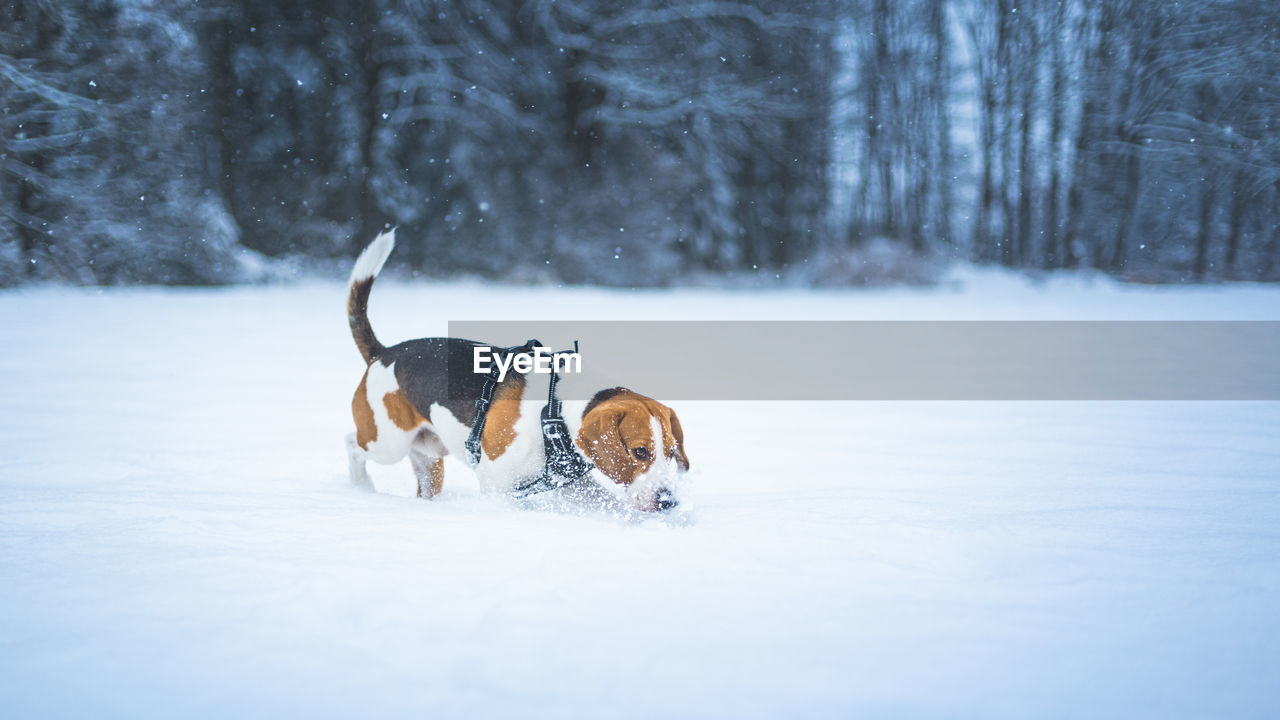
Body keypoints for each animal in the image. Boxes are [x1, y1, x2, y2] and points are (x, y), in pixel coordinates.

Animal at [345, 229, 691, 509]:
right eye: (640, 452)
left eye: (671, 452)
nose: (668, 501)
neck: (554, 414)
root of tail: (383, 352)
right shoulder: (497, 485)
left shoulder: (573, 484)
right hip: (386, 442)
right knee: (351, 442)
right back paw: (360, 486)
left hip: (429, 455)